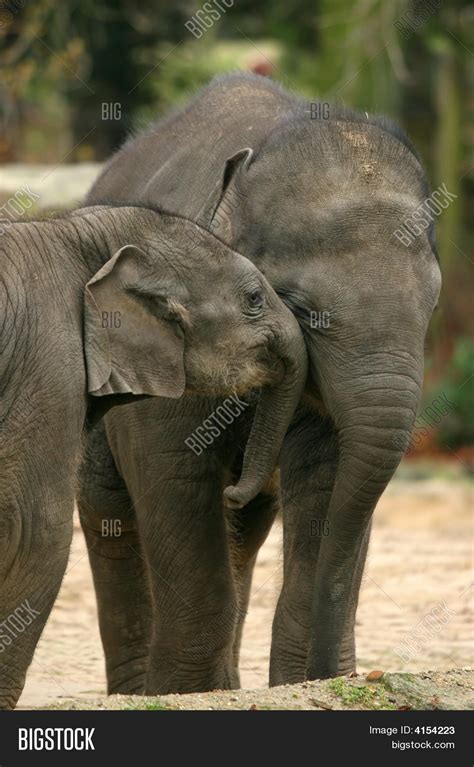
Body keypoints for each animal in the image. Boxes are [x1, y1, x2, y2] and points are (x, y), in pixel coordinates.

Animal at [81, 75, 440, 692]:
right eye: (303, 310)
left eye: (432, 305)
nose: (342, 679)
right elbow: (174, 473)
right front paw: (184, 693)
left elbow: (326, 476)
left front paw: (294, 684)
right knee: (108, 510)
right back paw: (141, 690)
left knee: (244, 532)